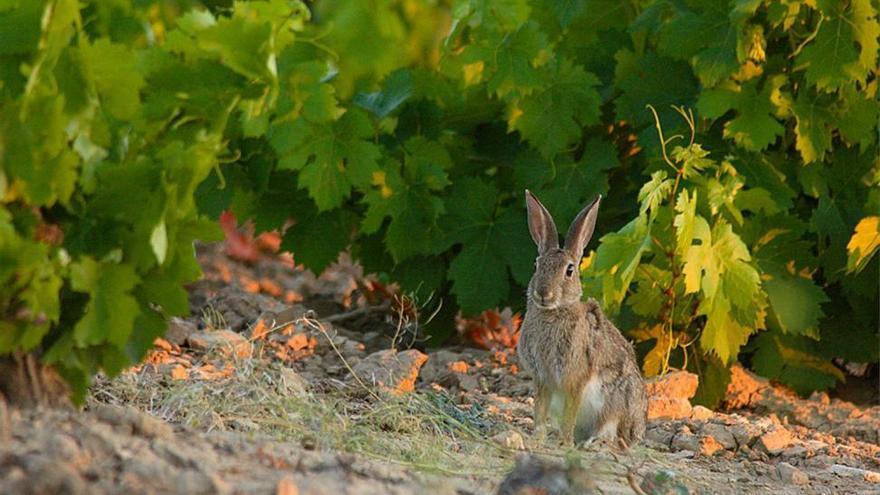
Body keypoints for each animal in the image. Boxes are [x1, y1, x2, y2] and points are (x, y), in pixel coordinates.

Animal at [516, 191, 648, 450]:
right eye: (536, 265)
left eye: (569, 271)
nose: (543, 293)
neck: (553, 312)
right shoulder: (543, 379)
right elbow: (540, 412)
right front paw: (537, 438)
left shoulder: (575, 378)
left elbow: (570, 413)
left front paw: (564, 443)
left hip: (618, 404)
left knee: (614, 435)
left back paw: (593, 443)